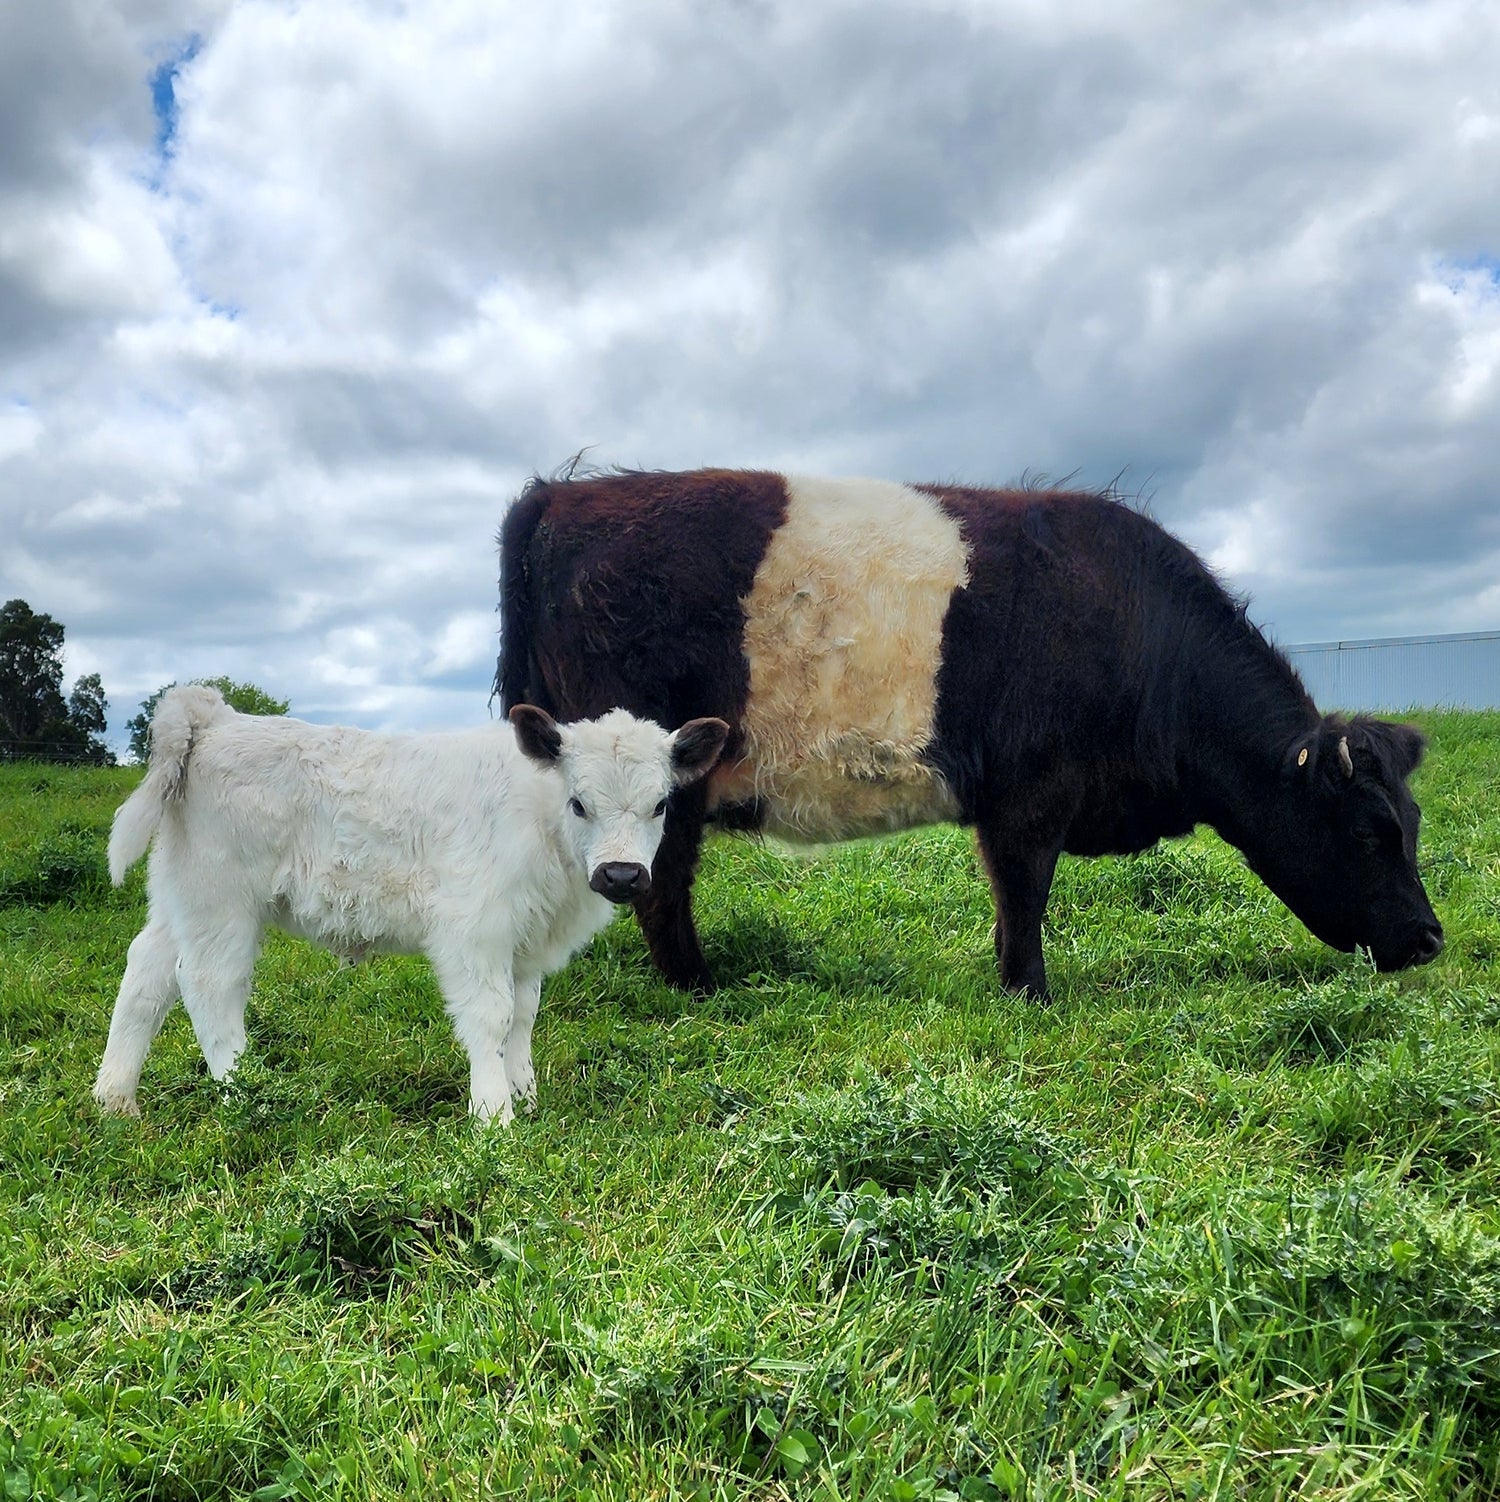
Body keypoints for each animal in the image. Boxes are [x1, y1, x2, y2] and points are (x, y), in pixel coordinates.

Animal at [92, 687, 726, 1123]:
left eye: (660, 804)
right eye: (579, 803)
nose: (621, 874)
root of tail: (217, 718)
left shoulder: (525, 942)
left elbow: (522, 1015)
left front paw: (524, 1094)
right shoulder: (474, 929)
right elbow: (491, 1016)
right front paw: (493, 1114)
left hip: (180, 898)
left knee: (147, 972)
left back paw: (115, 1099)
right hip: (221, 901)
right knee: (209, 984)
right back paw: (244, 1093)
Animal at [498, 462, 1447, 991]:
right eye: (1370, 832)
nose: (1432, 939)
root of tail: (563, 498)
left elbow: (1010, 901)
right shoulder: (1033, 795)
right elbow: (1025, 895)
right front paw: (1030, 992)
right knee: (663, 887)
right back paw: (699, 989)